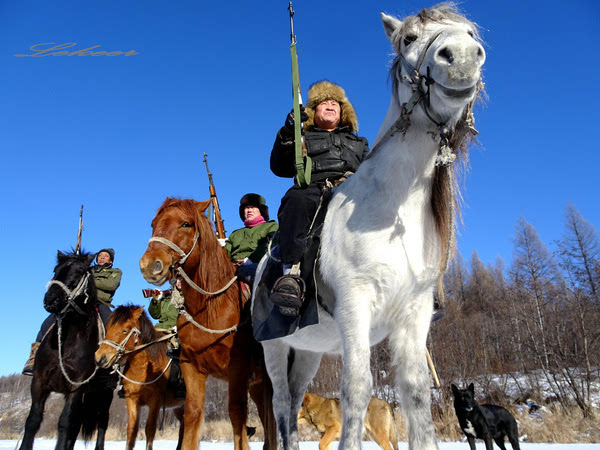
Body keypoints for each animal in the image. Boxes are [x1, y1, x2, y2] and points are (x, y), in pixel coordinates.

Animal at [20, 251, 116, 448]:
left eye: (80, 272)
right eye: (56, 270)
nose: (51, 300)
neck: (67, 341)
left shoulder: (75, 387)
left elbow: (64, 423)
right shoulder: (39, 383)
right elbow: (32, 421)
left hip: (105, 393)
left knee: (102, 422)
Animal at [95, 302, 184, 450]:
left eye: (125, 330)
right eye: (107, 328)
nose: (100, 358)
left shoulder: (155, 401)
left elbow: (150, 430)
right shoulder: (132, 399)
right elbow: (131, 431)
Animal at [139, 199, 276, 450]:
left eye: (186, 223)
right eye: (154, 223)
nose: (149, 265)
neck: (211, 308)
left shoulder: (238, 368)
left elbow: (237, 413)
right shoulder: (191, 367)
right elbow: (193, 414)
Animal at [255, 4, 486, 450]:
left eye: (470, 33)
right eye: (409, 38)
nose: (463, 57)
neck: (391, 211)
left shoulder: (413, 316)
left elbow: (415, 392)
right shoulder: (354, 306)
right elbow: (357, 389)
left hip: (308, 351)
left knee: (295, 400)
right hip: (274, 347)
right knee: (280, 406)